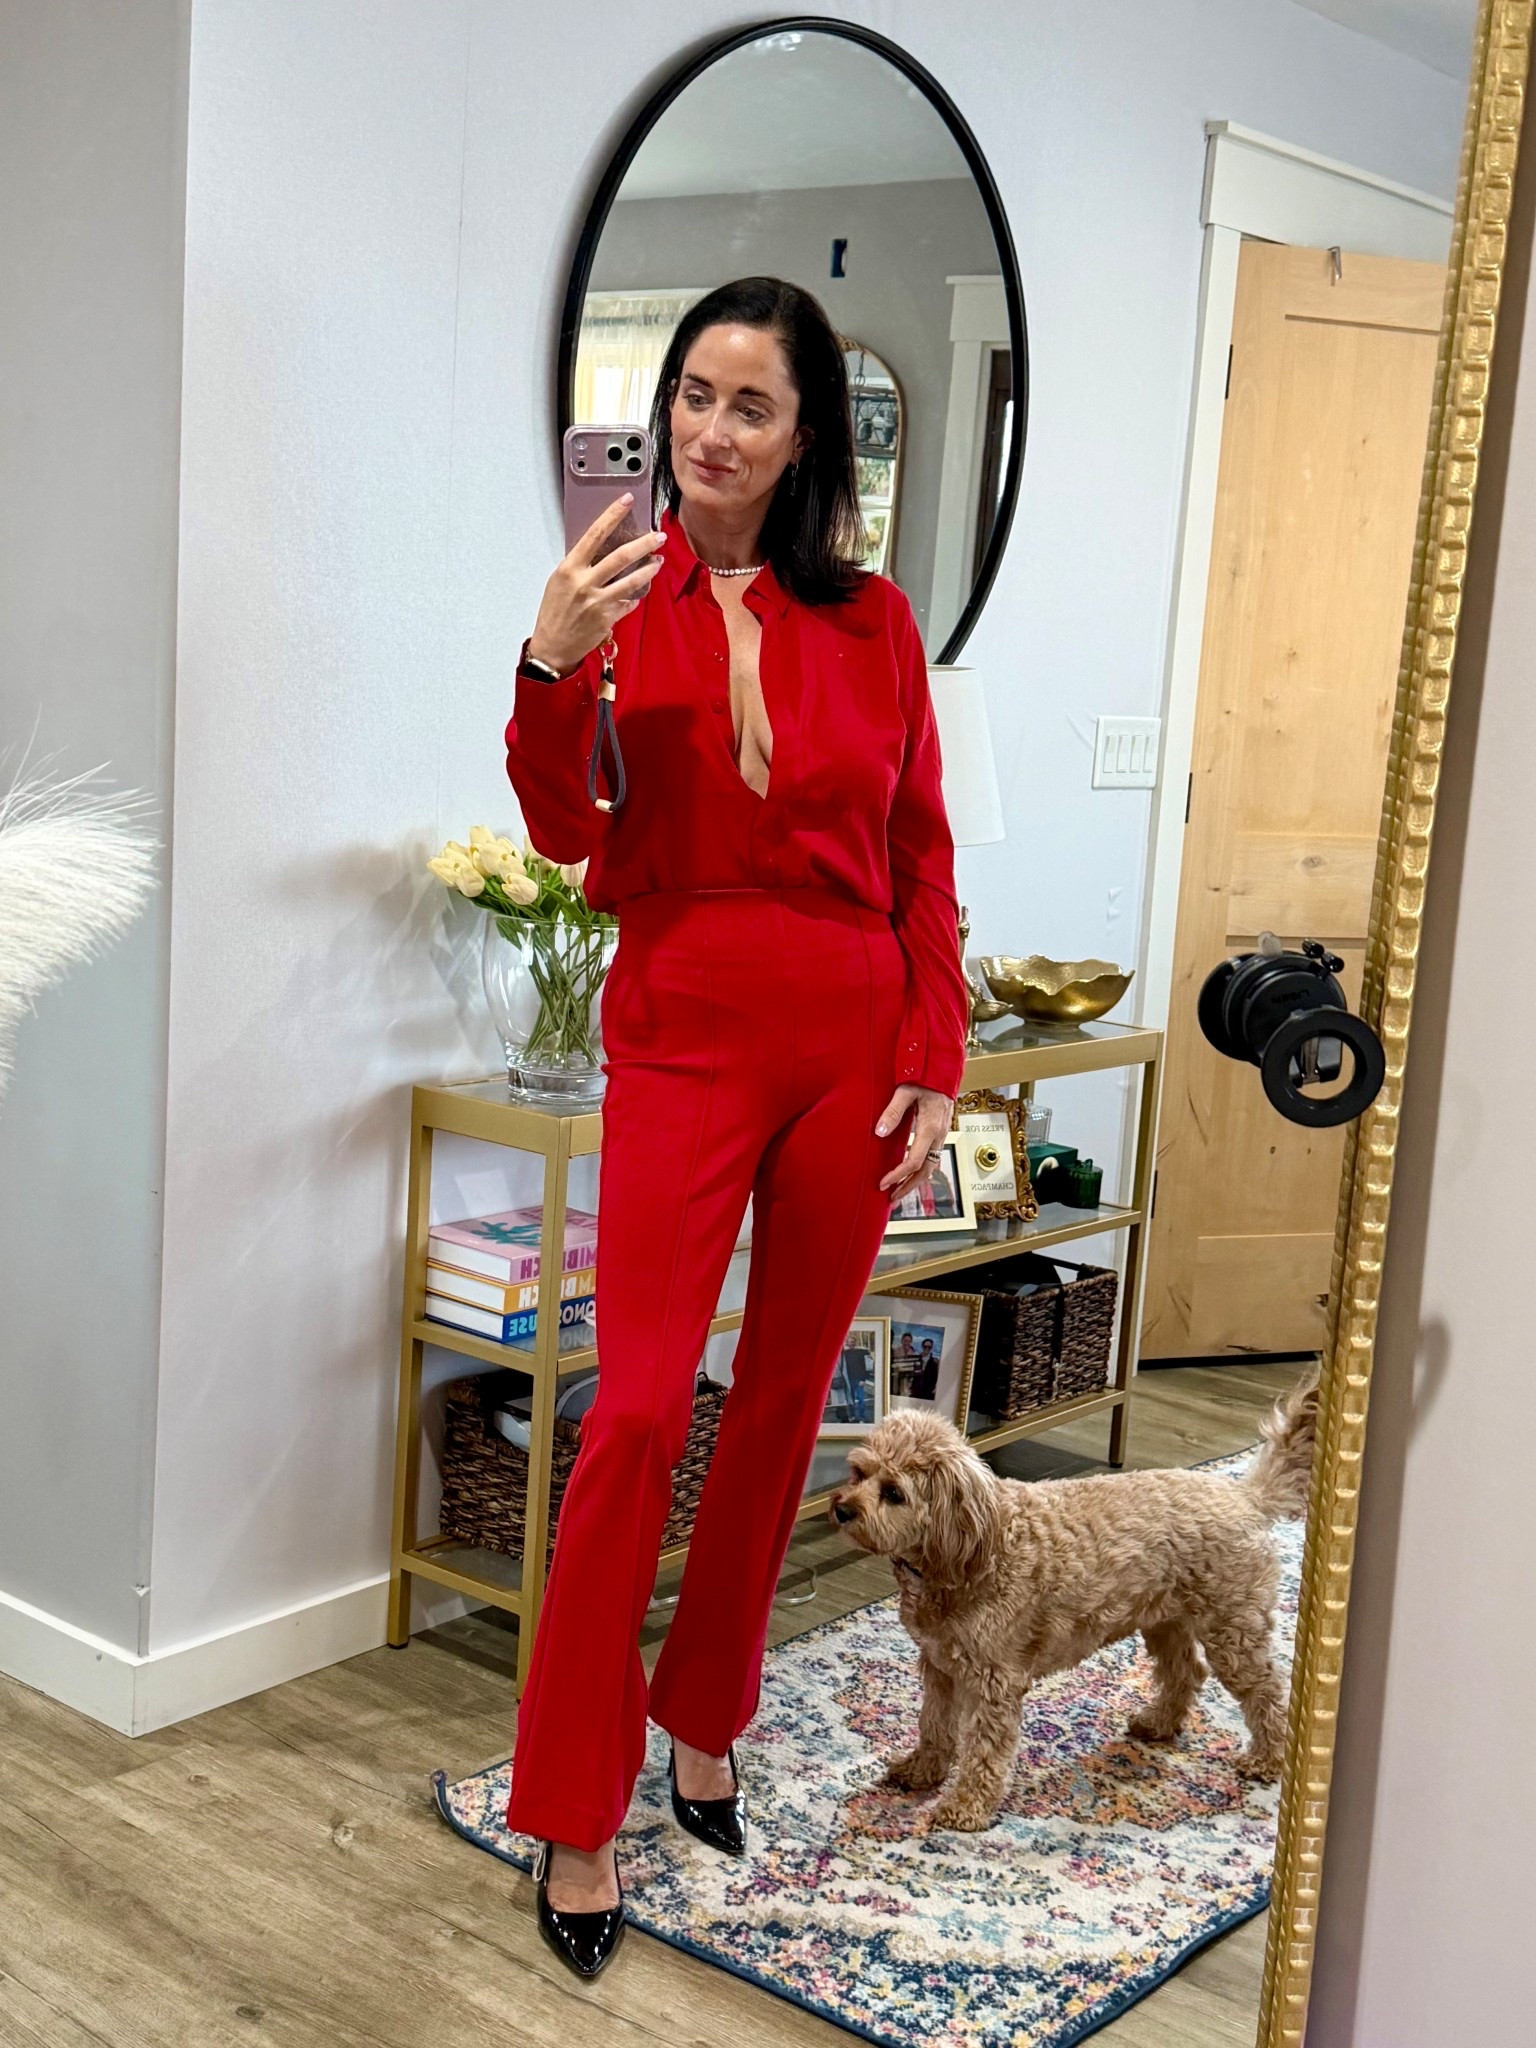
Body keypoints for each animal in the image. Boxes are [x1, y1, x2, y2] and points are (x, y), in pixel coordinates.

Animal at [827, 1373, 1318, 1832]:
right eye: (859, 1473)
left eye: (894, 1493)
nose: (842, 1509)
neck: (974, 1551)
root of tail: (1244, 1495)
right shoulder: (939, 1665)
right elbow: (934, 1726)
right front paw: (922, 1771)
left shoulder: (993, 1680)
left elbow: (984, 1751)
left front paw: (966, 1806)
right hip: (1165, 1620)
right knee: (1186, 1672)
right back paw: (1160, 1723)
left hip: (1233, 1629)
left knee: (1267, 1692)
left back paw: (1267, 1759)